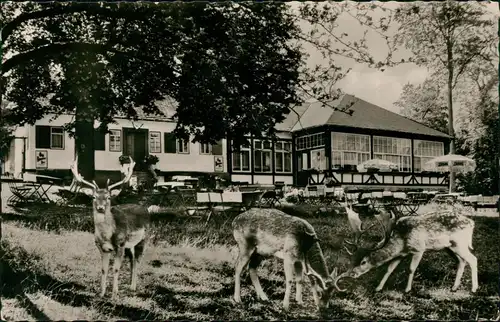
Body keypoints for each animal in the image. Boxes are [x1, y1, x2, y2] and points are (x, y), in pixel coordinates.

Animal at [69, 156, 153, 300]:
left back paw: (133, 287)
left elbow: (116, 268)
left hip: (143, 239)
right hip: (129, 245)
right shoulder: (102, 247)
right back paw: (129, 285)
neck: (107, 235)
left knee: (137, 261)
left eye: (108, 197)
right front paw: (101, 293)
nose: (100, 208)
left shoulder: (120, 245)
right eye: (94, 196)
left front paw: (114, 294)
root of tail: (145, 208)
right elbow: (104, 269)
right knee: (132, 261)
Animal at [338, 200, 478, 296]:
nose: (352, 274)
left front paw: (407, 290)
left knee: (473, 259)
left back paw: (474, 289)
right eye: (352, 260)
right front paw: (378, 288)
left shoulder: (419, 248)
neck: (402, 242)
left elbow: (411, 269)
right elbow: (389, 269)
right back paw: (454, 287)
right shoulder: (401, 254)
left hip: (459, 243)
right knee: (461, 261)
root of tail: (472, 223)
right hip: (449, 247)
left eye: (363, 262)